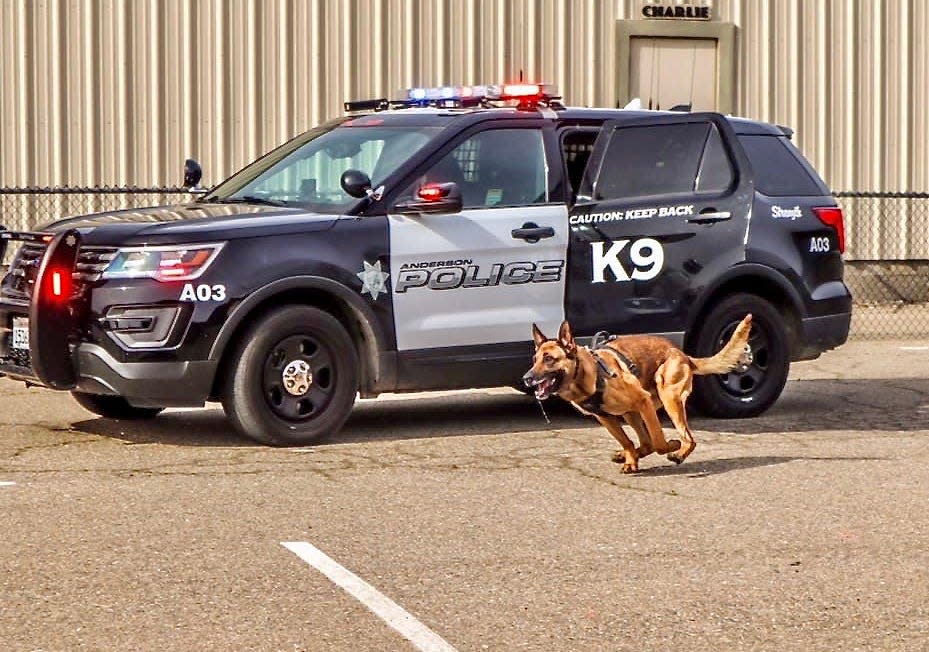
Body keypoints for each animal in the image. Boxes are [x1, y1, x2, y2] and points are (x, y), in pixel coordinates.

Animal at [520, 314, 752, 472]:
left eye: (549, 359)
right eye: (534, 360)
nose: (526, 378)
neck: (590, 375)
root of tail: (684, 355)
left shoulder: (643, 402)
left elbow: (659, 442)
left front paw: (671, 445)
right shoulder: (606, 418)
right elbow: (628, 441)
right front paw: (630, 458)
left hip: (668, 398)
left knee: (685, 439)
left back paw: (678, 453)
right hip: (630, 413)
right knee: (645, 443)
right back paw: (630, 455)